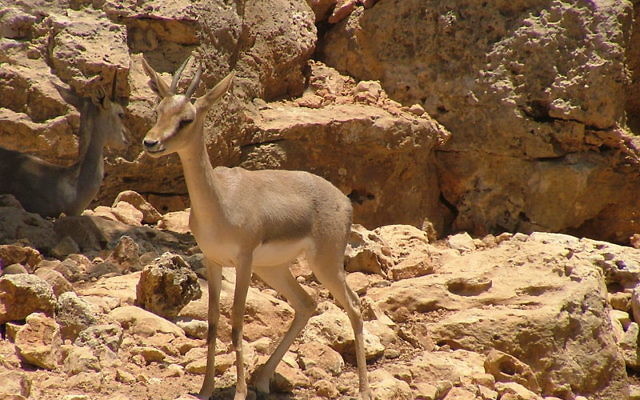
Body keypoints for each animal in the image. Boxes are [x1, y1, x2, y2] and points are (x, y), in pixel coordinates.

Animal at [141, 57, 371, 400]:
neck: (220, 202)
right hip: (273, 269)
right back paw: (262, 379)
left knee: (354, 307)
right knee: (306, 303)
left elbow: (236, 321)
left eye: (186, 119)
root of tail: (343, 200)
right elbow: (213, 322)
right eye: (159, 110)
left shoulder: (243, 261)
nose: (151, 142)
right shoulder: (212, 260)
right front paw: (206, 389)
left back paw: (363, 390)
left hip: (324, 264)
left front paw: (237, 392)